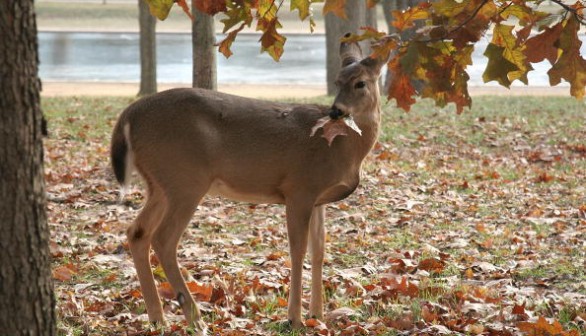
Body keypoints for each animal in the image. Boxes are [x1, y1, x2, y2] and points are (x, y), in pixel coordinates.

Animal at [110, 36, 384, 334]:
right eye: (337, 81)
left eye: (360, 83)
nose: (336, 111)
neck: (343, 149)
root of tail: (128, 116)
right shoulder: (299, 187)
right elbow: (297, 250)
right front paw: (295, 318)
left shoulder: (318, 198)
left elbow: (319, 250)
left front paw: (318, 314)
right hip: (185, 178)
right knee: (163, 238)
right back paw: (195, 317)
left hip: (160, 184)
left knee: (137, 232)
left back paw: (158, 317)